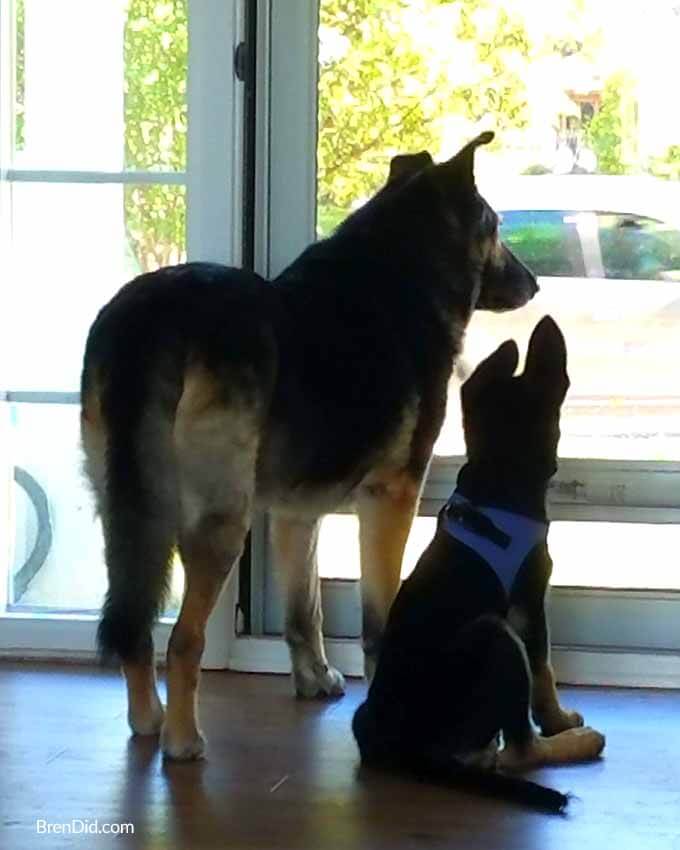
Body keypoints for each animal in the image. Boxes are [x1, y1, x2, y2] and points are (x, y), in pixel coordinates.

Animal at [354, 316, 604, 808]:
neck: (498, 478)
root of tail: (395, 747)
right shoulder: (530, 600)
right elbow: (544, 668)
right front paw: (560, 720)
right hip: (495, 634)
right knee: (522, 751)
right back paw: (576, 744)